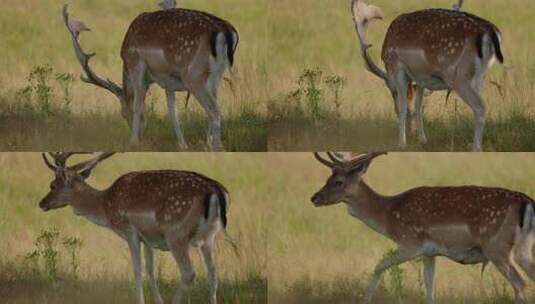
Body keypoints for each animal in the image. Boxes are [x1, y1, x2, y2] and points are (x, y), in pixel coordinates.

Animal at [37, 153, 230, 304]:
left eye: (52, 185)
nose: (42, 203)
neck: (106, 207)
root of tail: (216, 191)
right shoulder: (148, 239)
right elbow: (150, 270)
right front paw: (158, 301)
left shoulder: (130, 231)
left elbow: (137, 270)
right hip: (209, 236)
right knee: (213, 273)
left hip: (176, 233)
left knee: (189, 272)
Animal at [61, 5, 240, 151]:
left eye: (123, 113)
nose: (141, 136)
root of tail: (226, 30)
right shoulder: (168, 81)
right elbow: (172, 112)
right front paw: (182, 145)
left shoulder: (136, 62)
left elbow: (138, 104)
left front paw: (132, 142)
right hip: (216, 74)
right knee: (213, 108)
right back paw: (209, 144)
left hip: (193, 76)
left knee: (215, 112)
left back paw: (216, 147)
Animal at [312, 153, 535, 302]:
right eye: (327, 179)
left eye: (338, 181)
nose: (314, 197)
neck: (388, 216)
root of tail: (527, 202)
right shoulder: (430, 251)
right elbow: (429, 286)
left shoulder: (411, 243)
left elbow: (379, 265)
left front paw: (366, 300)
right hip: (523, 248)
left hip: (496, 247)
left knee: (519, 282)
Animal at [354, 0, 504, 152]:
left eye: (392, 92)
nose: (411, 131)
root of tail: (491, 31)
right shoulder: (421, 77)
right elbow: (418, 105)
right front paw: (422, 140)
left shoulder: (397, 68)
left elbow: (403, 106)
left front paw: (401, 143)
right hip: (480, 75)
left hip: (459, 76)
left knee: (480, 107)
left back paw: (475, 148)